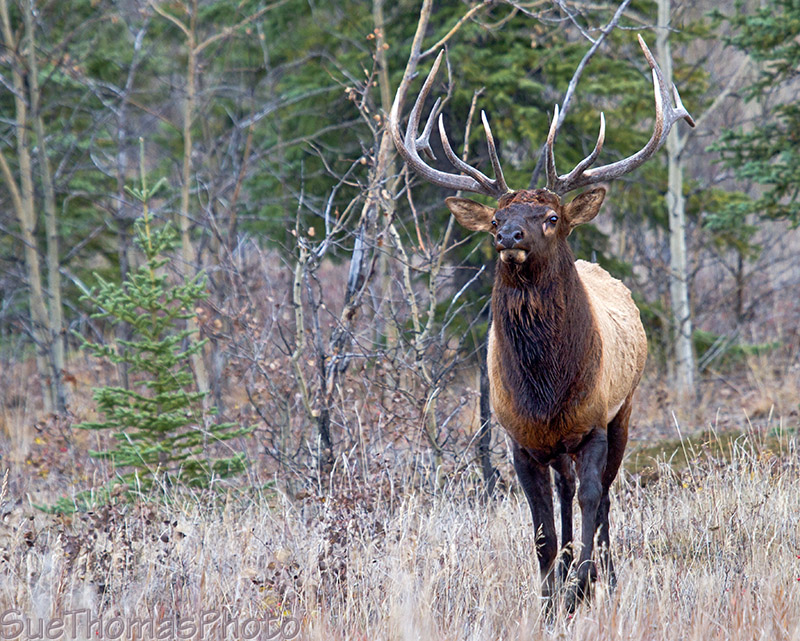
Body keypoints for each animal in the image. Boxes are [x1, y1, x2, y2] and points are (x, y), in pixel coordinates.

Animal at [389, 35, 694, 611]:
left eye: (551, 217)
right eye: (494, 217)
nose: (507, 235)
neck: (546, 387)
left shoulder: (594, 420)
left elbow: (595, 500)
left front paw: (584, 583)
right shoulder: (519, 437)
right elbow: (542, 528)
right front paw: (552, 595)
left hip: (626, 408)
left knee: (602, 495)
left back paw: (604, 576)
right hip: (559, 446)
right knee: (565, 491)